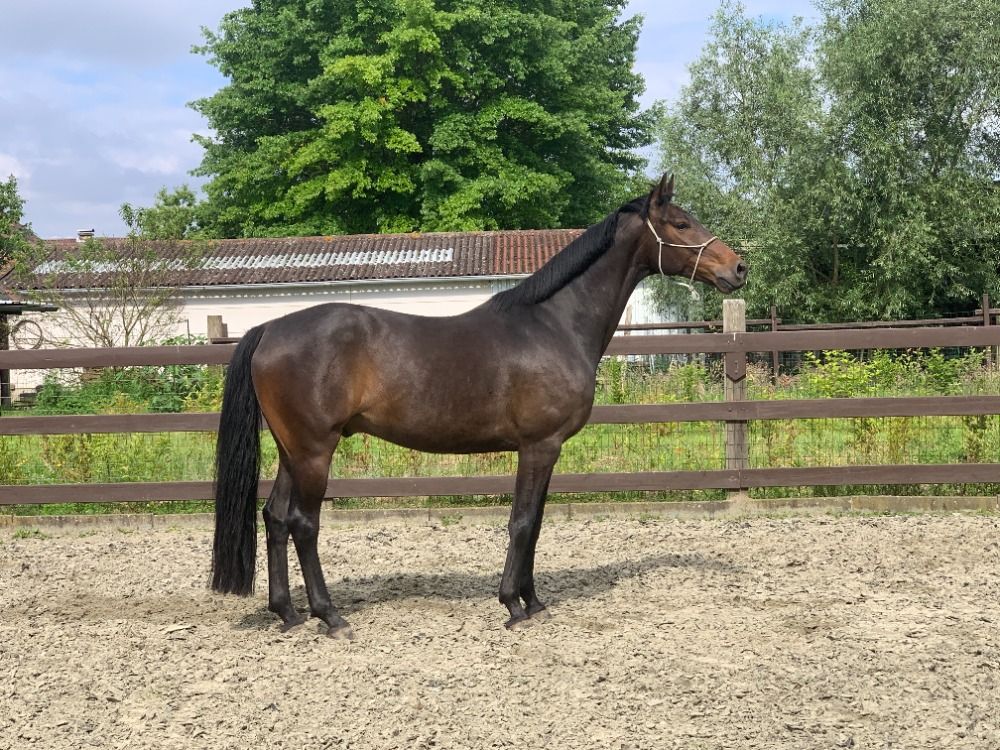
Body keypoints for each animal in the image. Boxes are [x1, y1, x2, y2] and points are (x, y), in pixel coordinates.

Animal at [211, 174, 748, 638]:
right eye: (680, 224)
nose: (737, 267)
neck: (553, 324)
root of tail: (270, 329)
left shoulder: (545, 450)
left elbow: (535, 523)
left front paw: (534, 600)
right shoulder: (539, 446)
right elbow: (523, 522)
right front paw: (513, 605)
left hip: (292, 452)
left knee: (275, 518)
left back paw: (287, 613)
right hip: (315, 452)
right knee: (303, 524)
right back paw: (330, 616)